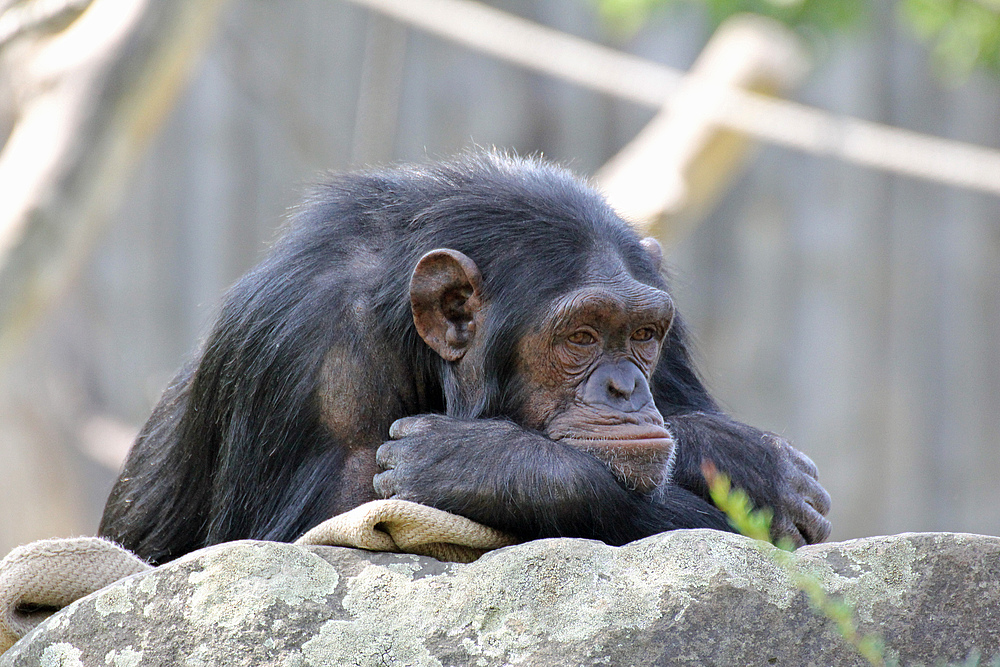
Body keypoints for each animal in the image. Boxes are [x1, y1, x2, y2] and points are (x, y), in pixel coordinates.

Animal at [101, 151, 832, 564]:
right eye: (581, 336)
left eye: (642, 334)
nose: (626, 387)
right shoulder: (305, 352)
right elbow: (327, 531)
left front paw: (483, 463)